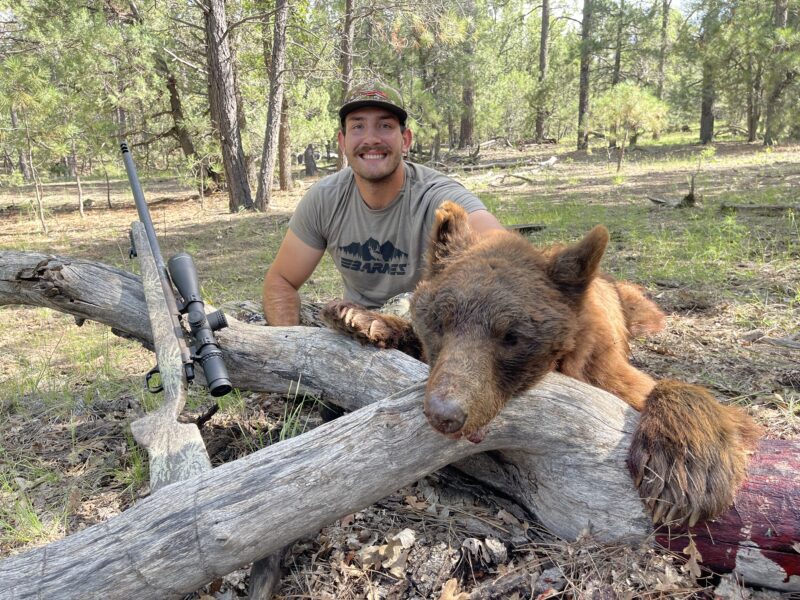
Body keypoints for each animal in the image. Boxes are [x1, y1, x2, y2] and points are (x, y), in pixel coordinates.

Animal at [320, 202, 764, 524]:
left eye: (511, 336)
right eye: (440, 322)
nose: (445, 413)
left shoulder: (601, 366)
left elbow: (668, 393)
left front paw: (685, 471)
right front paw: (362, 318)